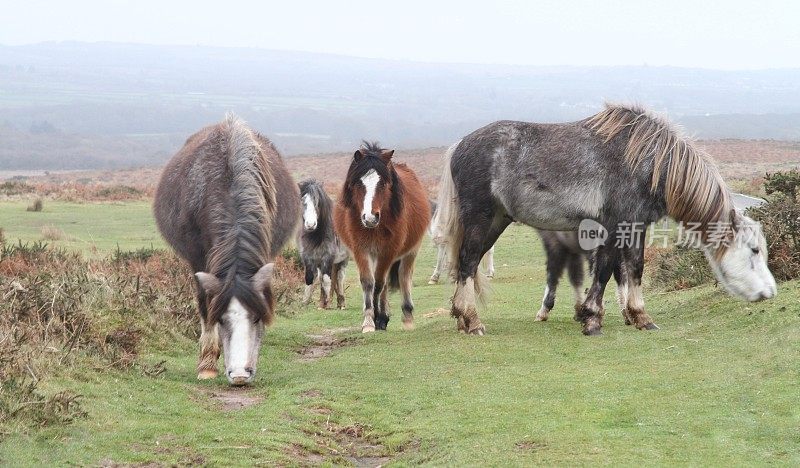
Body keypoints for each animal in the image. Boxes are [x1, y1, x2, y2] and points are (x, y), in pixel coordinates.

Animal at [153, 113, 300, 384]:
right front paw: (207, 364)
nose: (241, 375)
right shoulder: (198, 261)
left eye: (257, 318)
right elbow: (204, 304)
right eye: (220, 319)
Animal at [332, 143, 432, 332]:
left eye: (384, 183)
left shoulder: (388, 251)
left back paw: (407, 316)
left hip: (410, 251)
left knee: (403, 277)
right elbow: (368, 283)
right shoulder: (361, 250)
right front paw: (369, 321)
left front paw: (378, 317)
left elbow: (378, 283)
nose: (370, 217)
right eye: (358, 183)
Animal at [438, 102, 776, 336]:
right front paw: (592, 319)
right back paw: (472, 321)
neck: (651, 162)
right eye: (755, 250)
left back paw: (461, 317)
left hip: (496, 221)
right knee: (467, 263)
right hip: (480, 219)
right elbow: (604, 270)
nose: (770, 293)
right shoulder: (614, 226)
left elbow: (634, 268)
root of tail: (459, 145)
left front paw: (640, 317)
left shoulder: (635, 226)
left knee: (469, 263)